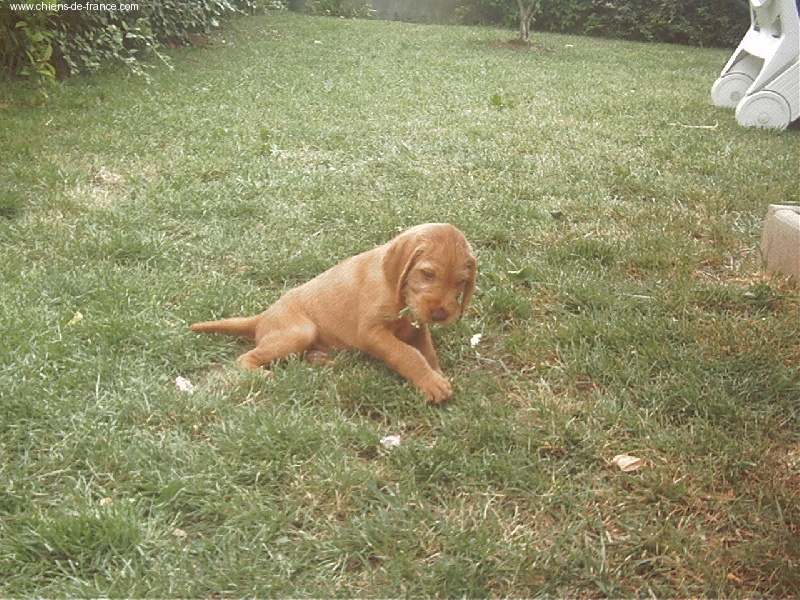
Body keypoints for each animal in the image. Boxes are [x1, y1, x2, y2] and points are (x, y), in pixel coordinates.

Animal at [189, 223, 476, 400]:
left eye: (461, 282)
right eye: (428, 274)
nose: (440, 314)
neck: (395, 288)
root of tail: (262, 317)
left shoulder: (417, 327)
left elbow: (427, 352)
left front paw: (436, 374)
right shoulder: (371, 332)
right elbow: (408, 354)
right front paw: (431, 383)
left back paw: (324, 362)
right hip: (300, 331)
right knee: (245, 359)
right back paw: (264, 374)